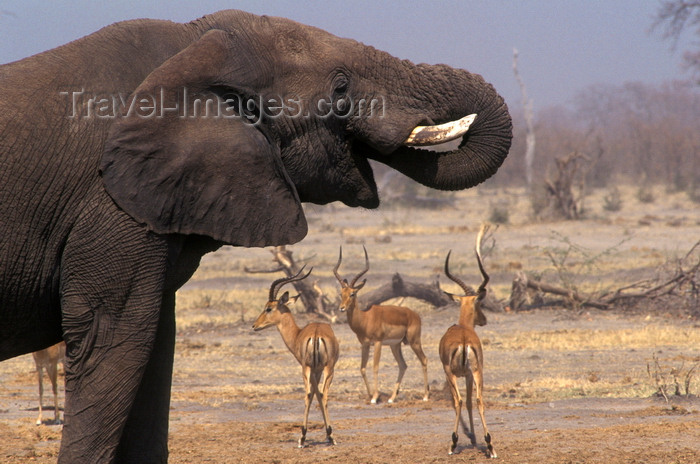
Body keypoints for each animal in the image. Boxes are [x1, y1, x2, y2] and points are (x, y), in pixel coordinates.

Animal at [252, 266, 340, 448]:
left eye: (268, 308)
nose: (254, 325)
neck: (298, 333)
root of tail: (316, 334)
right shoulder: (317, 370)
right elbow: (317, 394)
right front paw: (328, 435)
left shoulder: (314, 370)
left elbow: (315, 394)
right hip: (324, 368)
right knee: (321, 395)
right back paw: (314, 436)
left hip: (312, 369)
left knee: (310, 394)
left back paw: (305, 437)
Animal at [332, 246, 426, 402]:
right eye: (341, 293)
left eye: (352, 293)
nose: (342, 308)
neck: (365, 319)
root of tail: (414, 314)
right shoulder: (364, 344)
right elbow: (362, 368)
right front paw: (371, 395)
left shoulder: (377, 342)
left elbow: (375, 367)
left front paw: (375, 397)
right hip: (396, 345)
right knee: (403, 365)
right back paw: (392, 398)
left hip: (414, 342)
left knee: (424, 360)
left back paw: (426, 396)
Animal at [438, 225, 498, 456]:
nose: (484, 319)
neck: (462, 327)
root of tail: (464, 339)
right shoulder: (470, 375)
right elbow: (473, 401)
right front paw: (474, 438)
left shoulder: (453, 373)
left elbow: (462, 402)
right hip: (478, 371)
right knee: (479, 400)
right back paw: (490, 445)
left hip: (454, 373)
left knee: (459, 400)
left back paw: (453, 443)